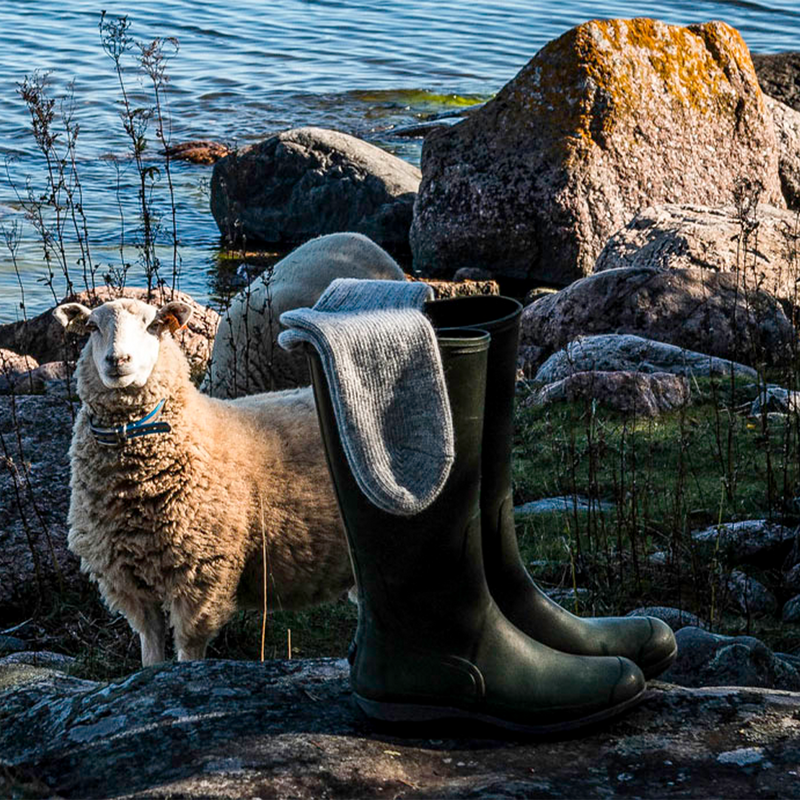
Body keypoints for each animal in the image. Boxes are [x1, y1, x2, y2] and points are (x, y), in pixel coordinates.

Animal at [50, 296, 350, 664]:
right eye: (92, 327)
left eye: (154, 324)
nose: (118, 360)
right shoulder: (127, 583)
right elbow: (150, 650)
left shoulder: (201, 576)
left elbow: (189, 651)